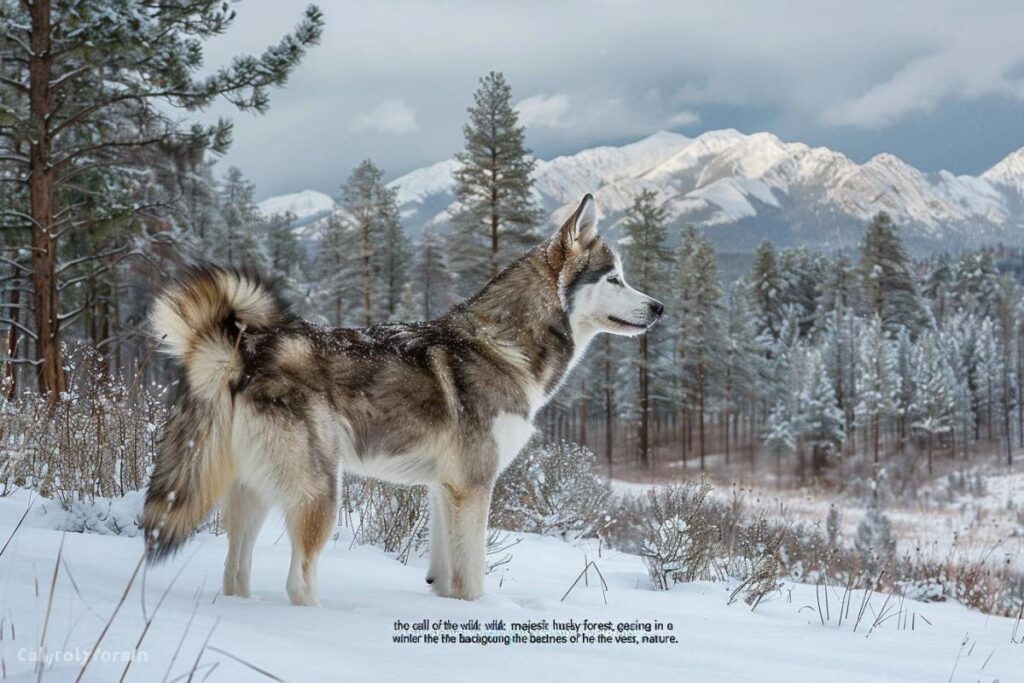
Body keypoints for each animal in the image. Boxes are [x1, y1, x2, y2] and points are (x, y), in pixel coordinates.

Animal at [140, 192, 659, 602]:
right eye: (614, 278)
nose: (659, 307)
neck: (503, 346)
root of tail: (246, 354)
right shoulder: (473, 487)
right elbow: (473, 581)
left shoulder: (444, 490)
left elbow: (446, 579)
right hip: (321, 492)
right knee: (298, 581)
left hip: (252, 496)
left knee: (234, 576)